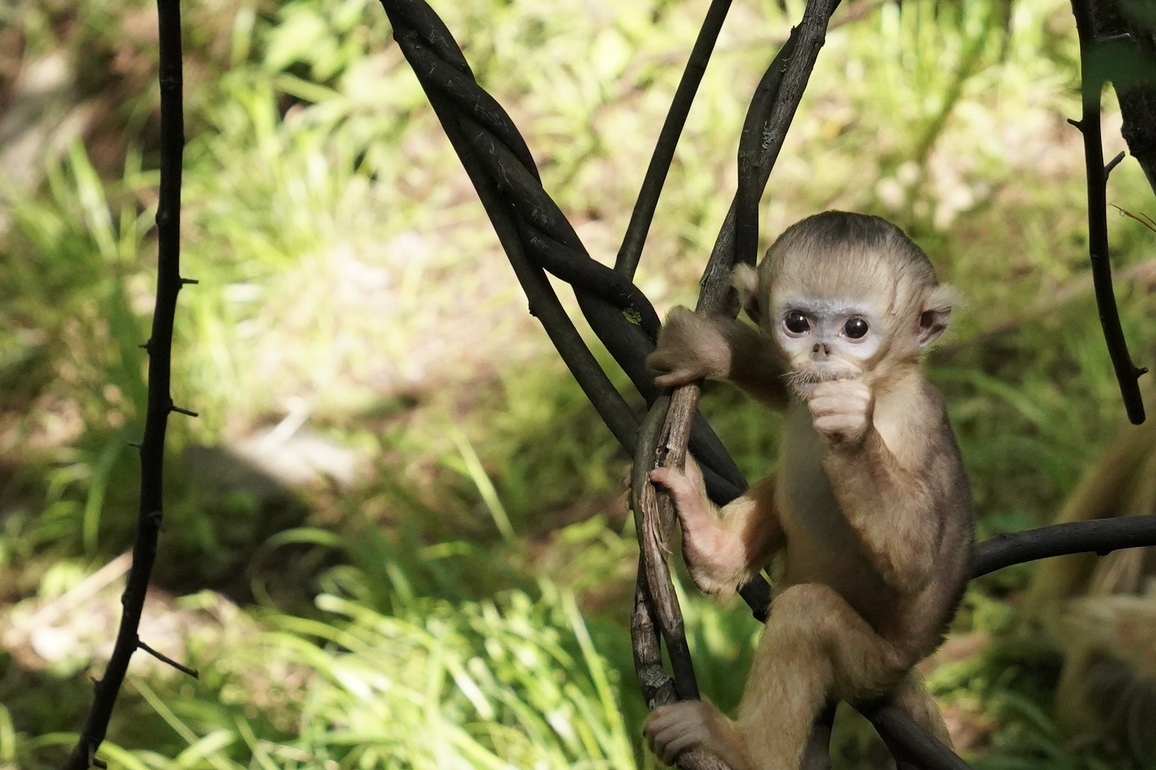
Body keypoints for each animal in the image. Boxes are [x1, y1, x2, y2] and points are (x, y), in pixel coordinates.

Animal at [642, 211, 974, 770]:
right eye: (797, 322)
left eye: (855, 329)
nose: (822, 350)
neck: (882, 385)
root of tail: (903, 666)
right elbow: (780, 378)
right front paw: (707, 349)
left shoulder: (916, 420)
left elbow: (915, 559)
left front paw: (852, 432)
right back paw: (712, 549)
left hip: (865, 663)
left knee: (806, 613)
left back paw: (742, 749)